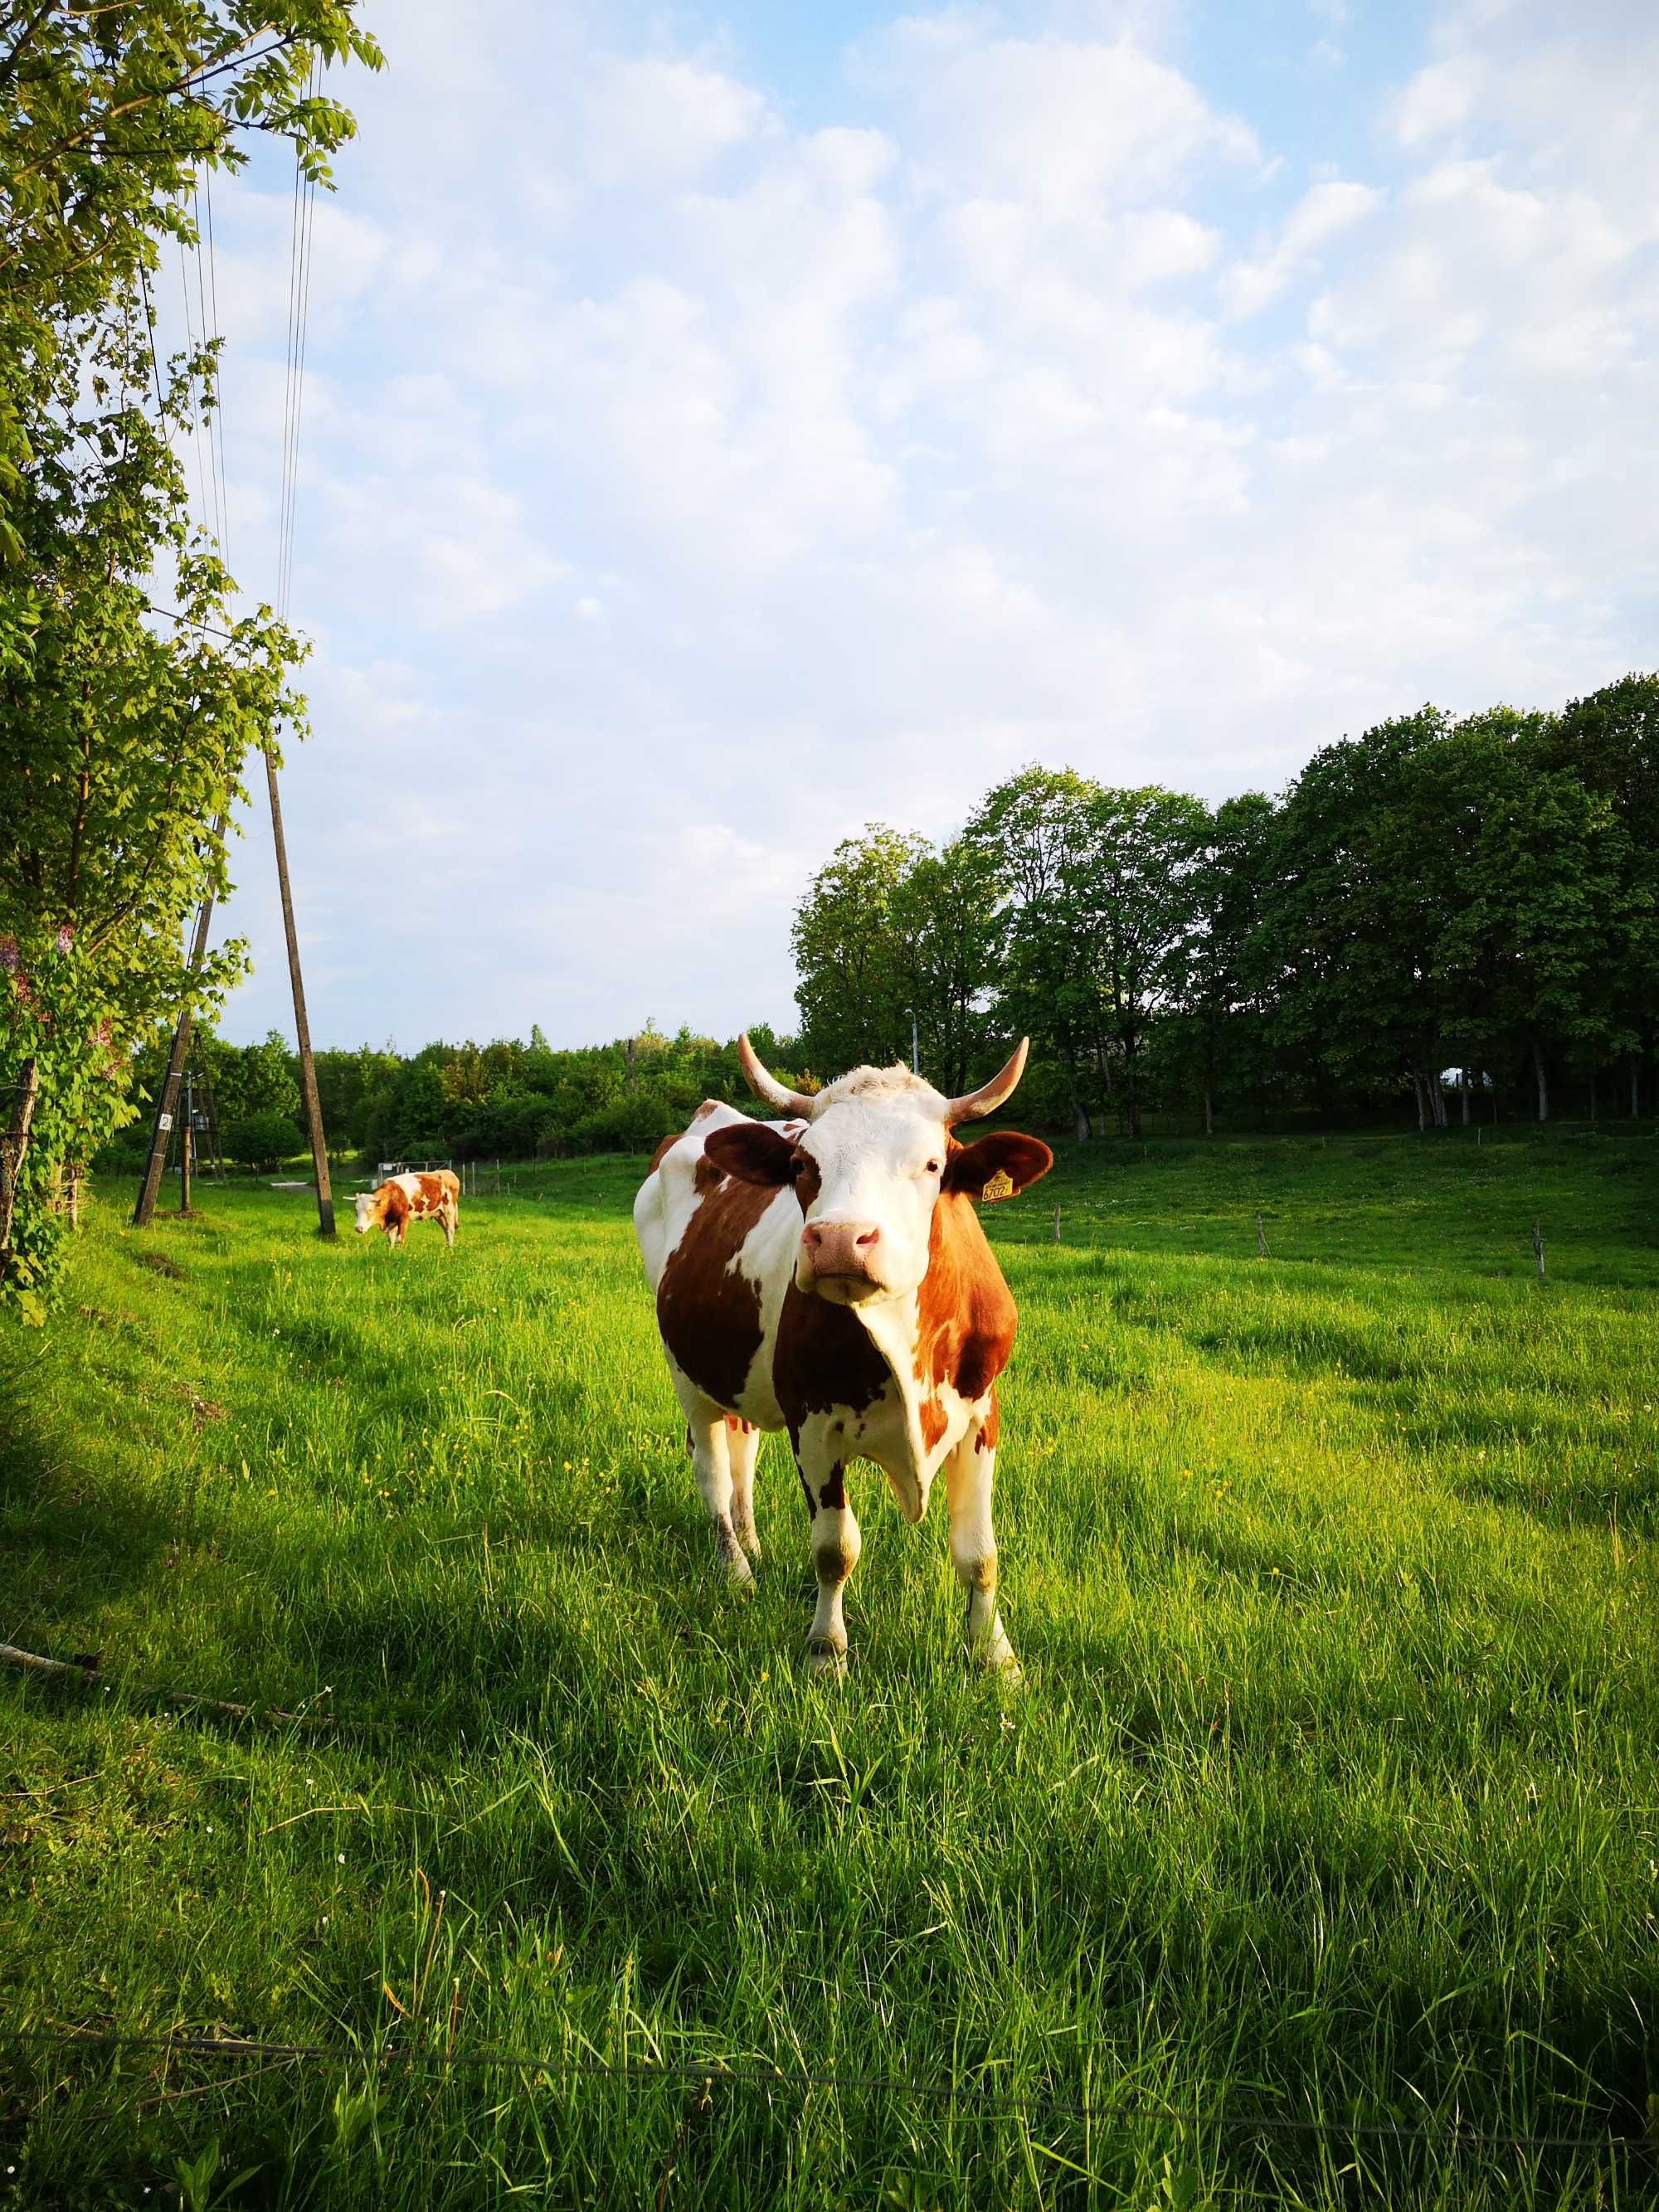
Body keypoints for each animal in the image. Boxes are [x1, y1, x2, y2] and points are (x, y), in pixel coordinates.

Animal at [353, 1168, 462, 1256]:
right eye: (356, 1211)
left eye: (370, 1210)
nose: (358, 1228)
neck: (393, 1195)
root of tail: (448, 1172)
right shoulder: (392, 1220)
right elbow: (391, 1239)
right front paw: (391, 1253)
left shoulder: (403, 1218)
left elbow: (399, 1239)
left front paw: (398, 1255)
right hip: (438, 1214)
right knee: (446, 1229)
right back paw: (447, 1247)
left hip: (449, 1210)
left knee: (450, 1229)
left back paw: (451, 1248)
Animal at [632, 1035, 1053, 1672]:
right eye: (803, 1165)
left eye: (933, 1165)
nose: (837, 1240)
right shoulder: (812, 1424)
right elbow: (835, 1549)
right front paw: (826, 1652)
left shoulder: (982, 1414)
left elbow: (979, 1553)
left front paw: (997, 1660)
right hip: (687, 1372)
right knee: (713, 1470)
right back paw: (736, 1569)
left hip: (741, 1372)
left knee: (742, 1453)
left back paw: (752, 1543)